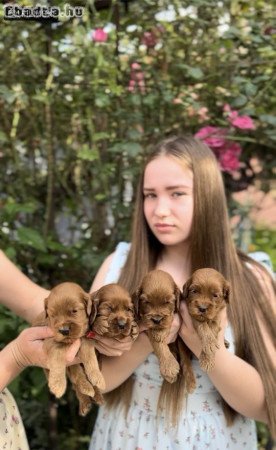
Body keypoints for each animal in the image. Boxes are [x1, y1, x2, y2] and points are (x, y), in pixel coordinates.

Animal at [32, 284, 105, 416]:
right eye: (53, 315)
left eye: (74, 311)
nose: (64, 330)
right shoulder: (51, 341)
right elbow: (57, 360)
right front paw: (58, 384)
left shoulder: (86, 339)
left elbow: (90, 357)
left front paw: (97, 377)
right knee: (76, 379)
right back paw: (86, 393)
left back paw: (95, 394)